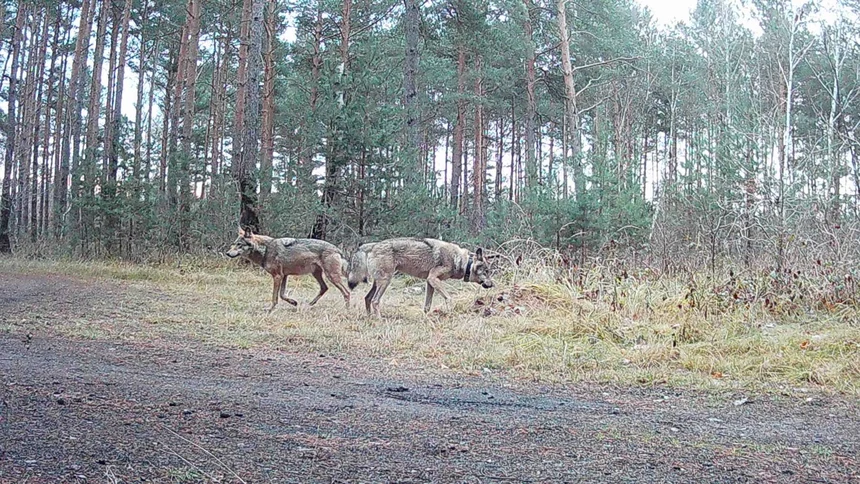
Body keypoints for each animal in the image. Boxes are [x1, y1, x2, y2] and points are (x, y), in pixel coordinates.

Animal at [347, 237, 494, 316]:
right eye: (486, 272)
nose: (493, 285)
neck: (461, 261)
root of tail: (371, 245)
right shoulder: (433, 279)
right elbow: (449, 298)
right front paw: (451, 312)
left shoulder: (430, 282)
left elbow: (427, 306)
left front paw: (426, 318)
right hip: (385, 282)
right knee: (375, 301)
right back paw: (379, 319)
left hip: (378, 283)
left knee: (367, 298)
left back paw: (369, 318)